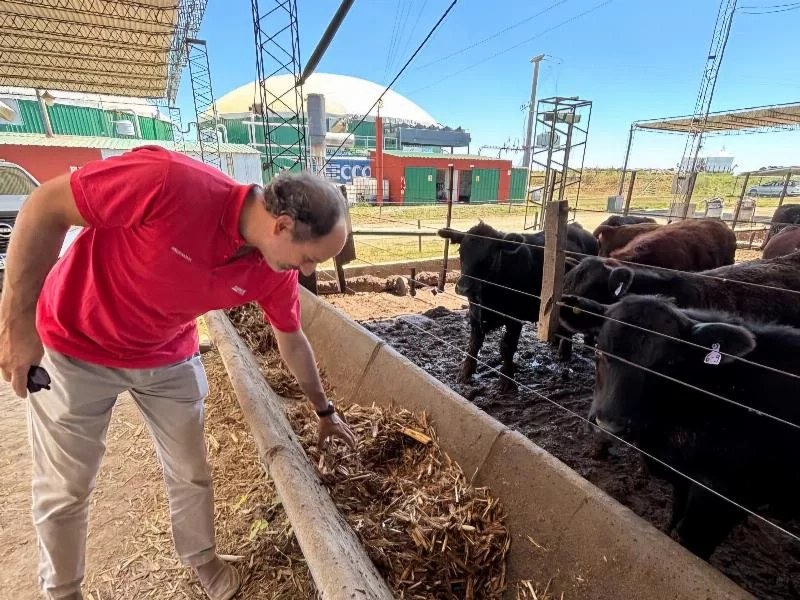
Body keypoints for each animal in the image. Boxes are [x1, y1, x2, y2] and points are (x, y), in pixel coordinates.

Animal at [438, 220, 600, 394]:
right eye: (461, 251)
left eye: (490, 256)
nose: (463, 287)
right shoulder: (475, 313)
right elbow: (474, 343)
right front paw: (465, 372)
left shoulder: (514, 318)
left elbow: (506, 346)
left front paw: (507, 381)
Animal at [572, 292, 796, 560]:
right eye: (599, 349)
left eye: (666, 366)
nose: (608, 426)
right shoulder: (684, 481)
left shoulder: (722, 499)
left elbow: (692, 544)